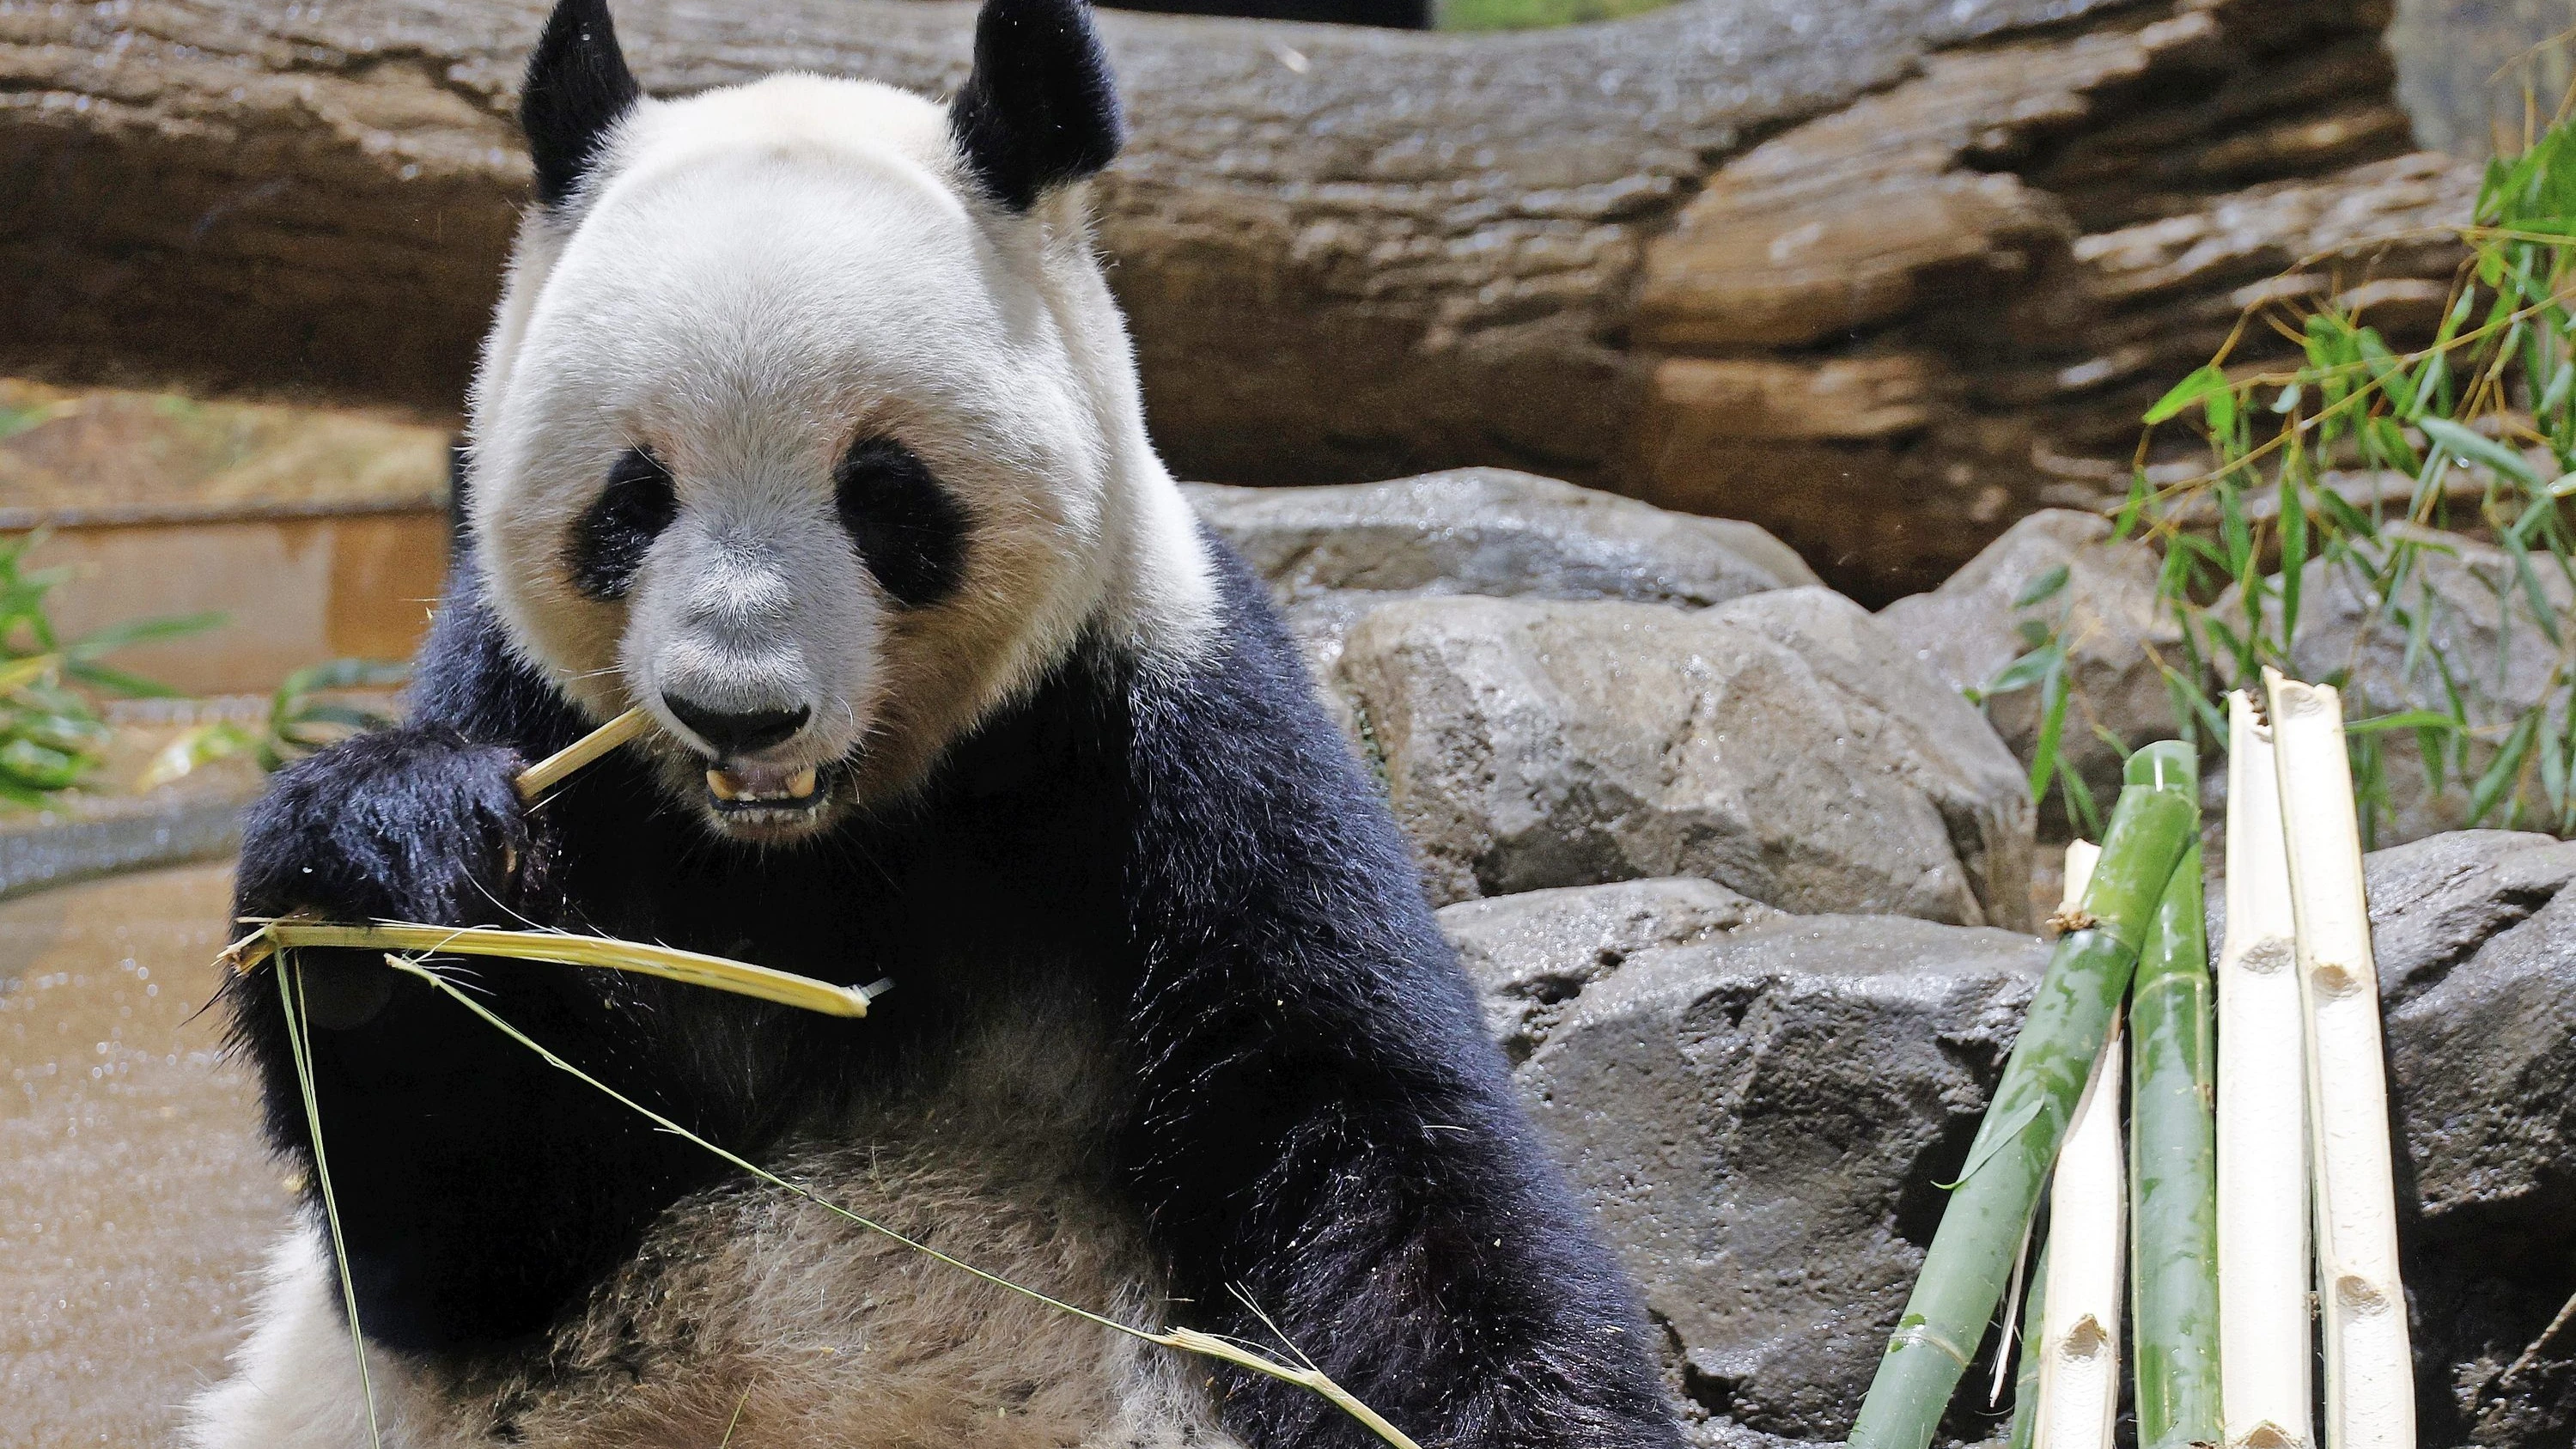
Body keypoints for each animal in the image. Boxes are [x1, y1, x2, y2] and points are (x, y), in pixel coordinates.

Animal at [187, 1, 1679, 1445]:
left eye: (882, 492)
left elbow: (1364, 1146)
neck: (818, 855)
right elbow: (470, 1234)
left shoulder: (1169, 732)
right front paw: (382, 860)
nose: (737, 711)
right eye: (631, 497)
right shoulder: (522, 710)